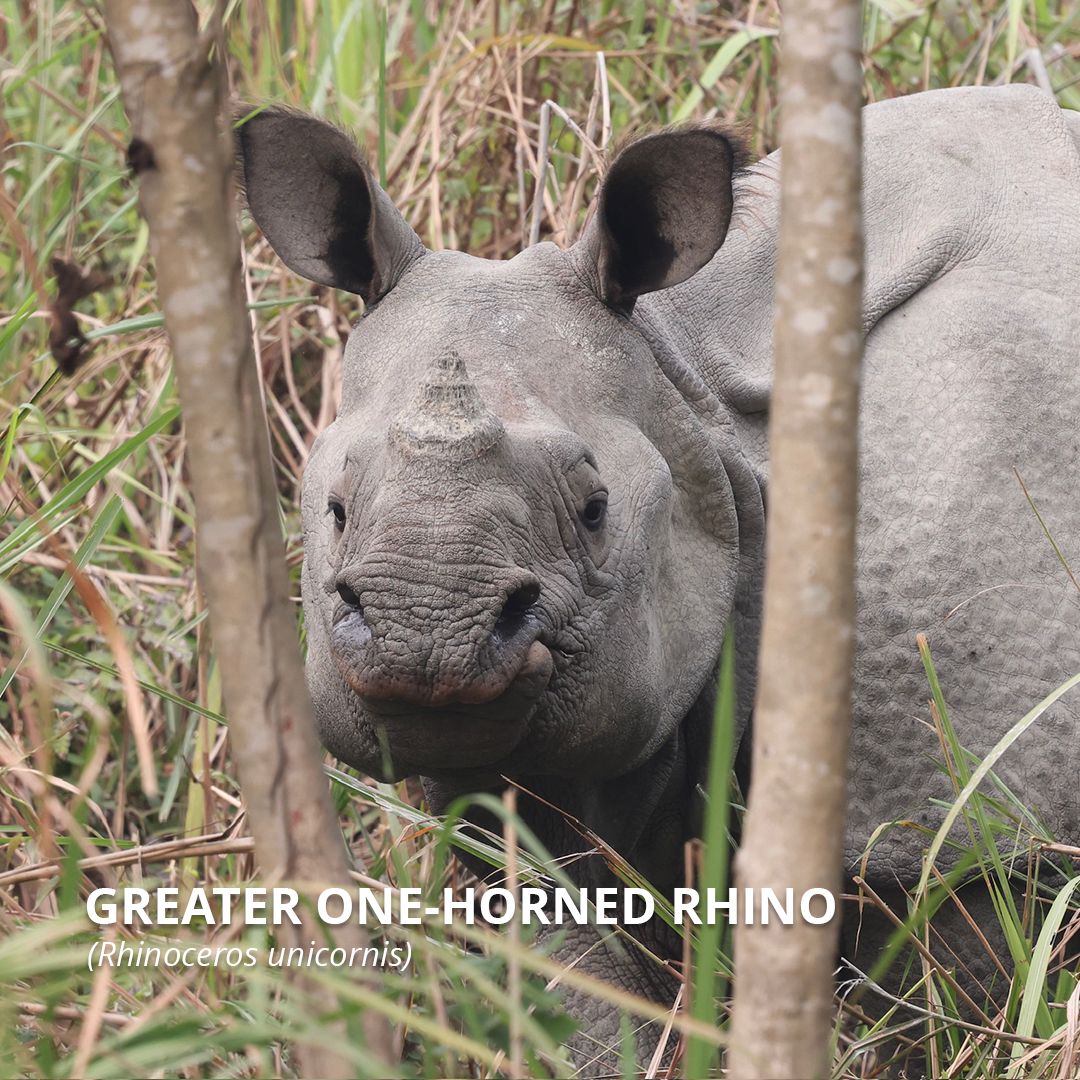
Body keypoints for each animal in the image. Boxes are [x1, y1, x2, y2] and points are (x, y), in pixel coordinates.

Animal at [236, 84, 1080, 1070]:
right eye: (332, 509)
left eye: (597, 508)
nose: (428, 635)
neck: (701, 406)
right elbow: (577, 988)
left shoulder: (977, 799)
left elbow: (934, 995)